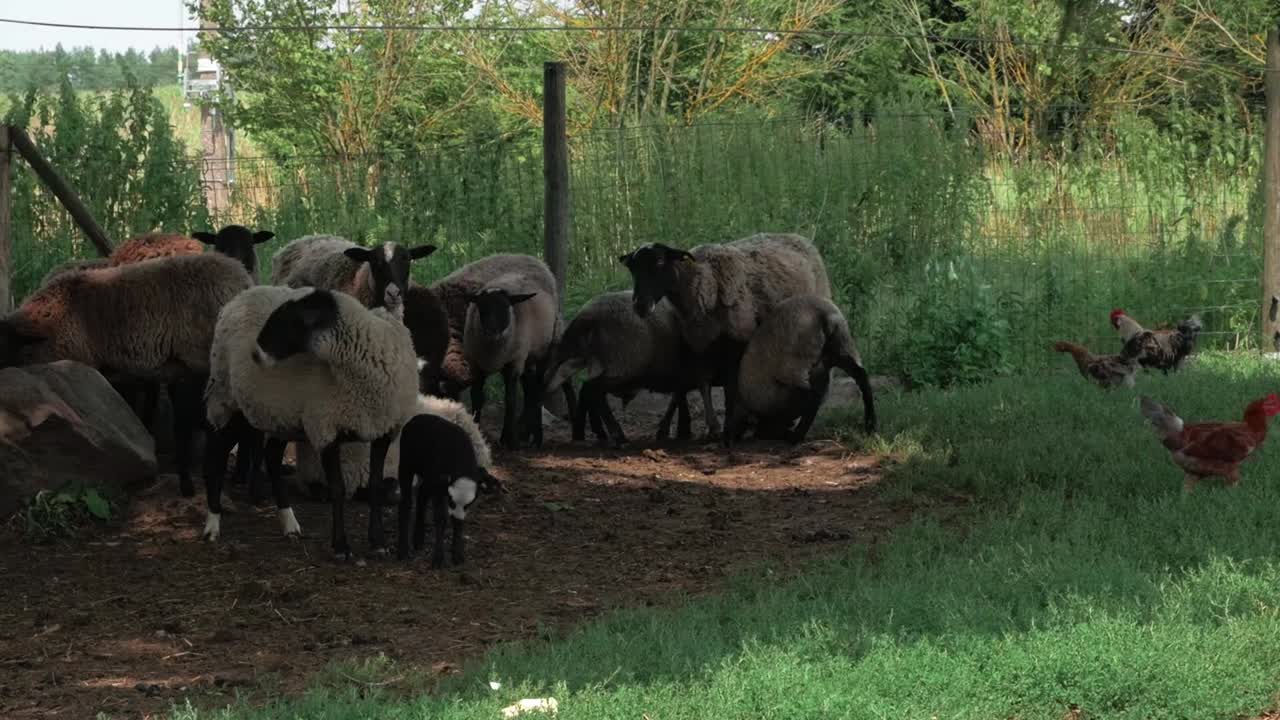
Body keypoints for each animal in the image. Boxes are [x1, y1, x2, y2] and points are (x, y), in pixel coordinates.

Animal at [202, 286, 419, 560]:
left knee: (271, 457)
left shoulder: (384, 430)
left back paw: (289, 523)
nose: (254, 354)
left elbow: (376, 486)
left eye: (292, 321)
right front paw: (341, 547)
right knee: (216, 458)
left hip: (279, 414)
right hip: (225, 400)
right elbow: (337, 489)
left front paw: (378, 542)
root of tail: (241, 296)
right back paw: (212, 524)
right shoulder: (325, 428)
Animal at [544, 290, 712, 447]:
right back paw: (617, 436)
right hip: (622, 366)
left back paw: (586, 433)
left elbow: (678, 396)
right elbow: (680, 396)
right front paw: (681, 429)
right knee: (593, 390)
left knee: (586, 390)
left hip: (598, 363)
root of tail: (588, 314)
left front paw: (676, 430)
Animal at [619, 233, 831, 443]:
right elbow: (703, 383)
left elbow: (732, 387)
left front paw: (730, 428)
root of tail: (798, 237)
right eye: (632, 268)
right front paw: (713, 427)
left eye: (660, 262)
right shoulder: (699, 344)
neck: (705, 283)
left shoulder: (737, 342)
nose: (640, 305)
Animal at [725, 294, 877, 447]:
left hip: (796, 363)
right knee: (860, 376)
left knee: (813, 394)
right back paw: (871, 426)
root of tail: (823, 312)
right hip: (838, 345)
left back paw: (794, 437)